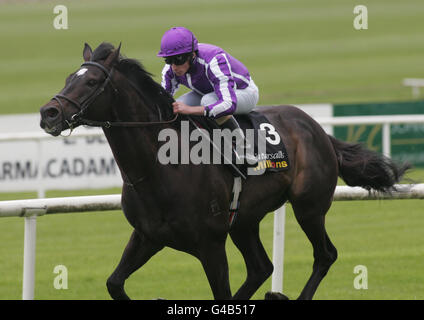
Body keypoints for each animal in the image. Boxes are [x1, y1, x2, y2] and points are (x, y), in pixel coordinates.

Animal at [39, 42, 410, 300]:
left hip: (309, 207)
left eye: (92, 82)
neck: (159, 168)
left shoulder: (211, 245)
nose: (48, 113)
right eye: (69, 78)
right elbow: (114, 283)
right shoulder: (147, 236)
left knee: (325, 254)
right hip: (244, 221)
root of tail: (318, 129)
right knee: (262, 268)